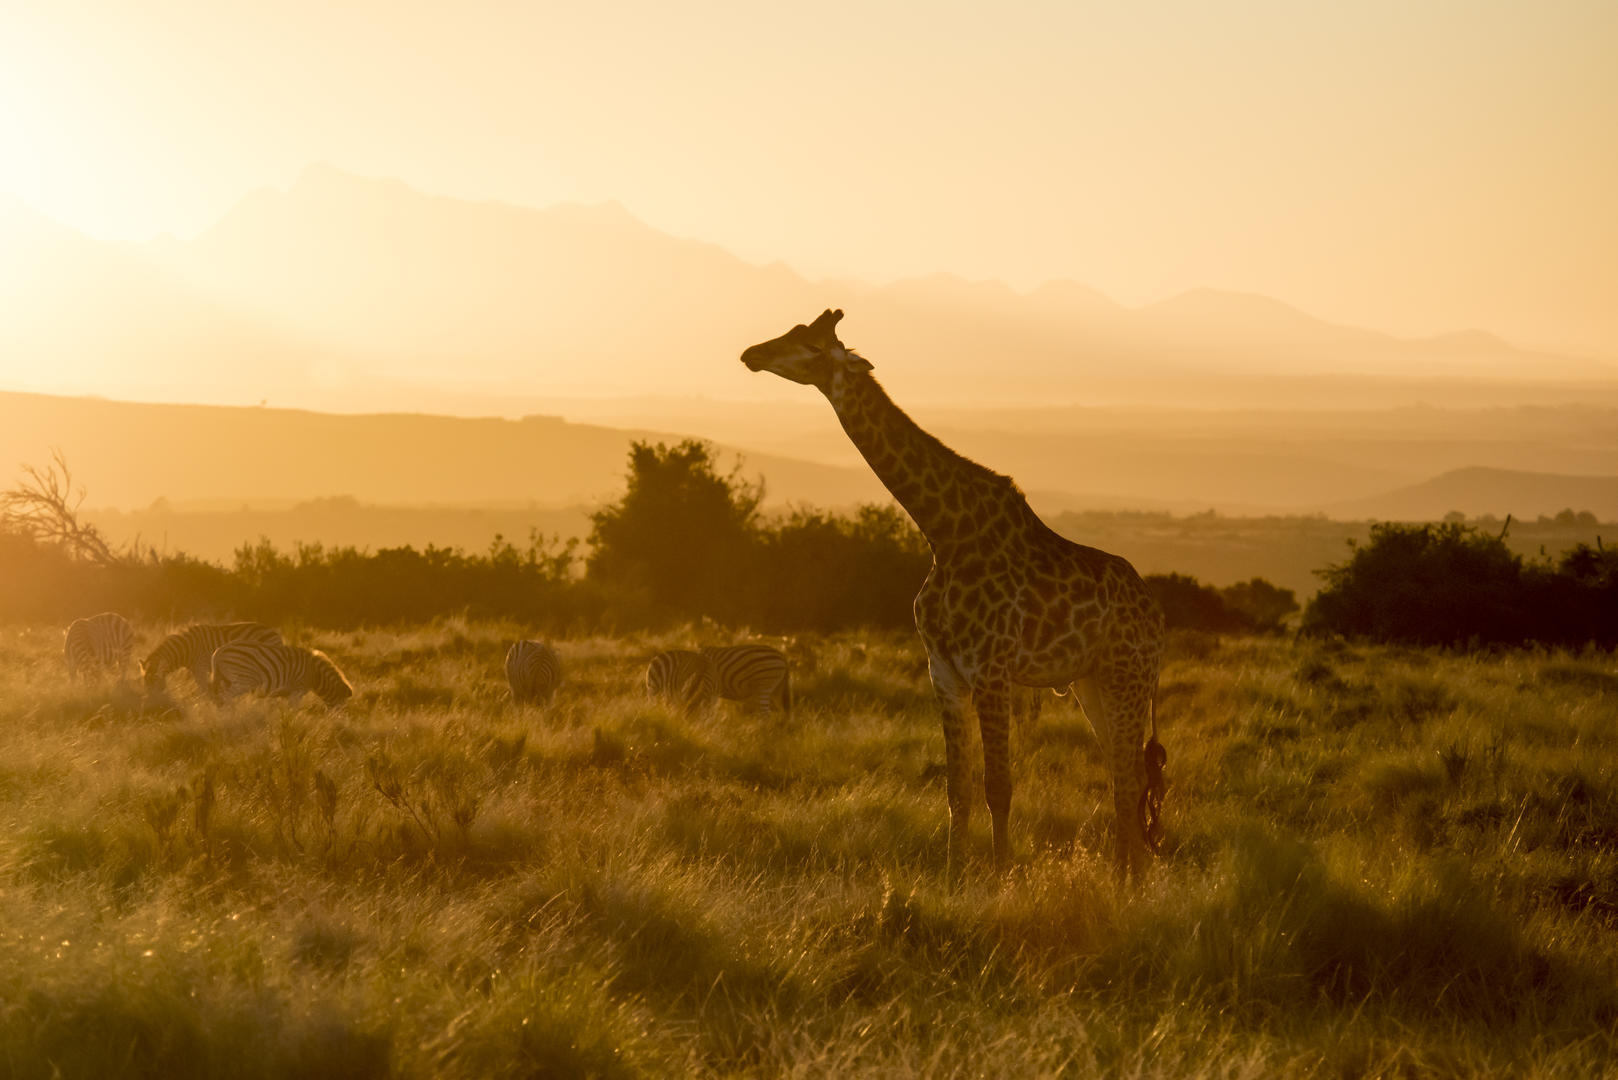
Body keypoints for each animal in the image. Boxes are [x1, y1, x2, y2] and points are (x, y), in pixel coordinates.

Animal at [741, 309, 1167, 883]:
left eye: (809, 346)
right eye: (791, 330)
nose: (752, 354)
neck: (944, 534)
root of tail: (1157, 619)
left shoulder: (991, 669)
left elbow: (998, 786)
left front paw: (1002, 877)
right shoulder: (943, 669)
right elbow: (956, 788)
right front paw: (953, 877)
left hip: (1127, 679)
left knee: (1131, 778)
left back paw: (1125, 883)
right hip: (1092, 683)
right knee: (1127, 776)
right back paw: (1126, 881)